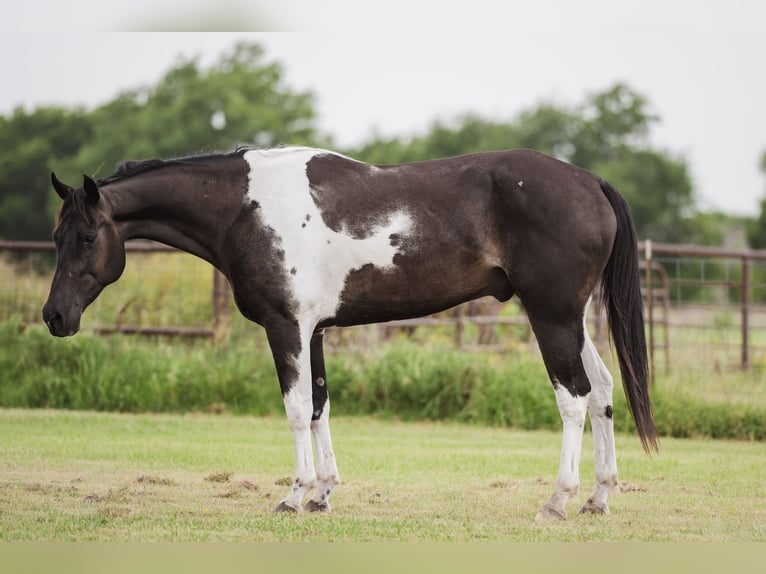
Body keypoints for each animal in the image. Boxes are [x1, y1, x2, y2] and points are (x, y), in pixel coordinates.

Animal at [42, 146, 657, 520]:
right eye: (56, 236)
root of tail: (590, 181)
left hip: (550, 316)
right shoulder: (313, 331)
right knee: (603, 392)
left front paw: (293, 496)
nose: (54, 317)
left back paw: (557, 501)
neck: (247, 208)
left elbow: (295, 411)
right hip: (572, 319)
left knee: (574, 399)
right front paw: (323, 494)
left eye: (89, 237)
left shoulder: (286, 327)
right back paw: (599, 497)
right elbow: (319, 406)